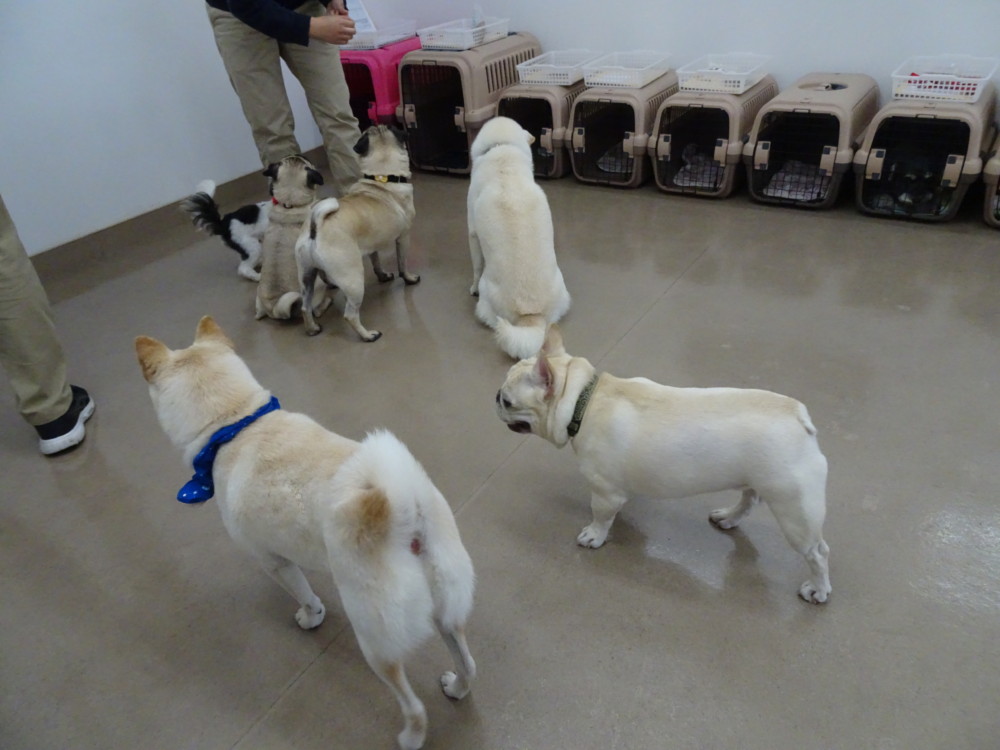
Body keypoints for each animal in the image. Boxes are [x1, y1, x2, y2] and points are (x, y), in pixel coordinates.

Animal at [135, 316, 476, 750]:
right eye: (232, 424)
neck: (234, 424)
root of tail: (401, 507)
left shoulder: (274, 562)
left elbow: (304, 594)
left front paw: (310, 616)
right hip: (448, 608)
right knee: (468, 663)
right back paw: (457, 687)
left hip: (376, 639)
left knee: (413, 706)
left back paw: (410, 737)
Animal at [255, 155, 330, 321]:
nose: (300, 154)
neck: (289, 205)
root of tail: (274, 307)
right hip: (317, 285)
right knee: (314, 310)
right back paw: (326, 303)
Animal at [295, 125, 418, 342]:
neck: (382, 177)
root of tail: (315, 228)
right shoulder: (403, 237)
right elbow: (402, 263)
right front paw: (409, 279)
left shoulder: (372, 246)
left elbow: (376, 261)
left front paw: (383, 276)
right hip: (353, 280)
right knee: (350, 315)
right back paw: (368, 335)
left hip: (307, 276)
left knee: (305, 307)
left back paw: (312, 329)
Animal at [467, 116, 571, 359]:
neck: (502, 151)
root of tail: (531, 315)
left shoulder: (472, 232)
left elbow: (476, 266)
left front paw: (472, 287)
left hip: (487, 296)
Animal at [494, 326, 831, 604]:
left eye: (508, 402)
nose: (495, 395)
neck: (582, 400)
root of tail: (799, 416)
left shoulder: (604, 491)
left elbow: (600, 516)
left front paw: (595, 535)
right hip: (756, 482)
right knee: (748, 501)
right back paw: (728, 517)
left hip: (795, 512)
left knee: (818, 553)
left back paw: (818, 589)